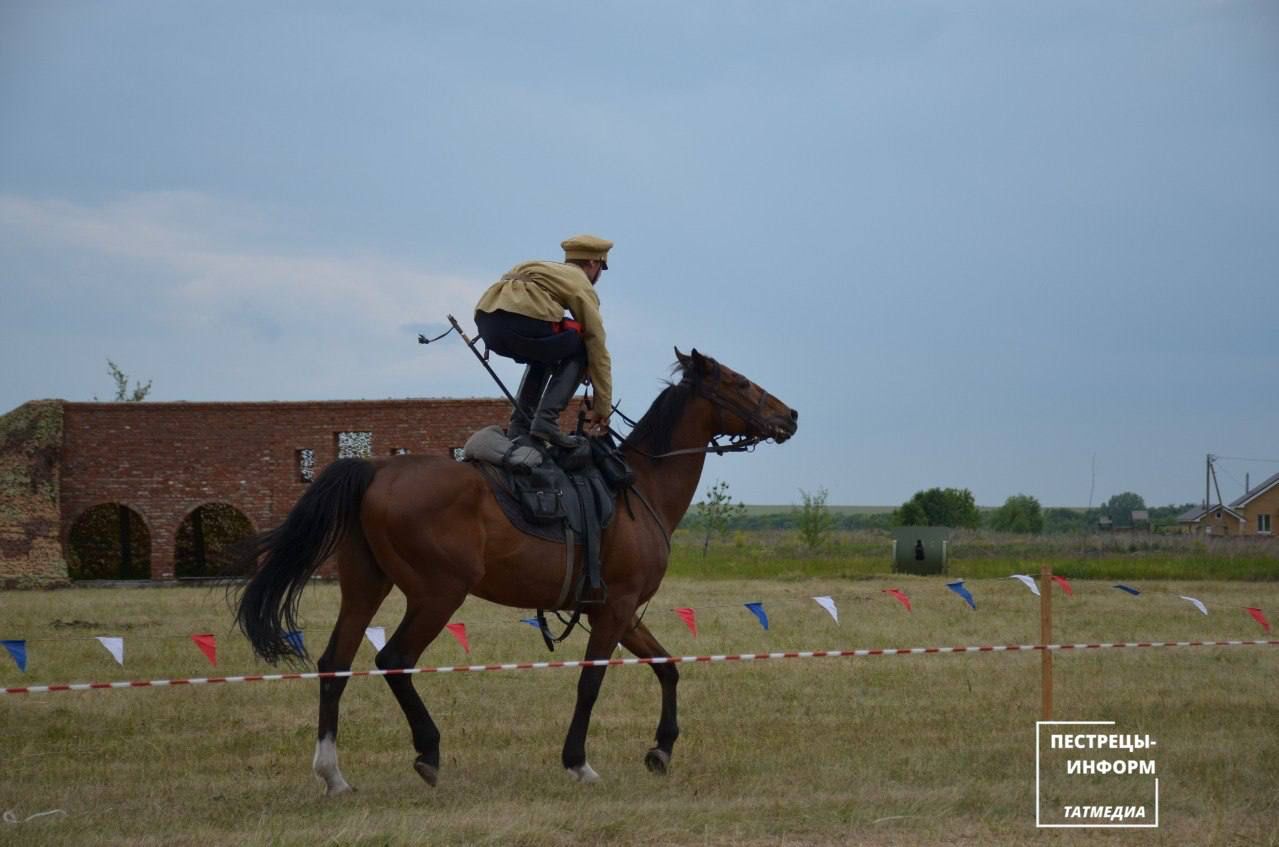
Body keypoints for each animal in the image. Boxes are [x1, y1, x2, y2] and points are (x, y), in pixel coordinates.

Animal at [234, 348, 792, 793]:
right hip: (438, 595)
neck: (640, 487)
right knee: (394, 659)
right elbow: (591, 682)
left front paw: (661, 750)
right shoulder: (615, 609)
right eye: (740, 382)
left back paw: (333, 773)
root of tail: (376, 468)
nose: (791, 414)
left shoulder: (620, 612)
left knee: (335, 664)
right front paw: (578, 763)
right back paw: (428, 751)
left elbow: (667, 667)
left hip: (366, 587)